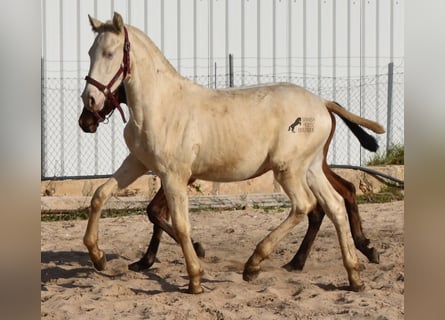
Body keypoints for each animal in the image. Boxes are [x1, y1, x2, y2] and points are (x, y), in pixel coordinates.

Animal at [81, 12, 384, 294]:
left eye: (110, 53)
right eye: (90, 52)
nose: (89, 104)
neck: (161, 106)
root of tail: (322, 104)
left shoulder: (174, 175)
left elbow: (179, 224)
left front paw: (195, 279)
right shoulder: (137, 163)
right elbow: (100, 195)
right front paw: (98, 256)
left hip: (288, 169)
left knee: (305, 205)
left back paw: (254, 264)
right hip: (310, 168)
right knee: (335, 206)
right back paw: (354, 276)